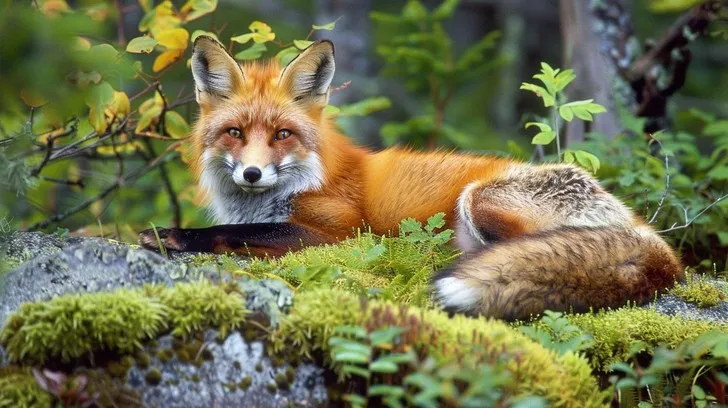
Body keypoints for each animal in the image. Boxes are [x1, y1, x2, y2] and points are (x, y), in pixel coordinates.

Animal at [139, 36, 683, 320]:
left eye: (282, 135)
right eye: (234, 132)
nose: (252, 173)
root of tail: (652, 237)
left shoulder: (337, 233)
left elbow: (235, 233)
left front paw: (174, 236)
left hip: (479, 200)